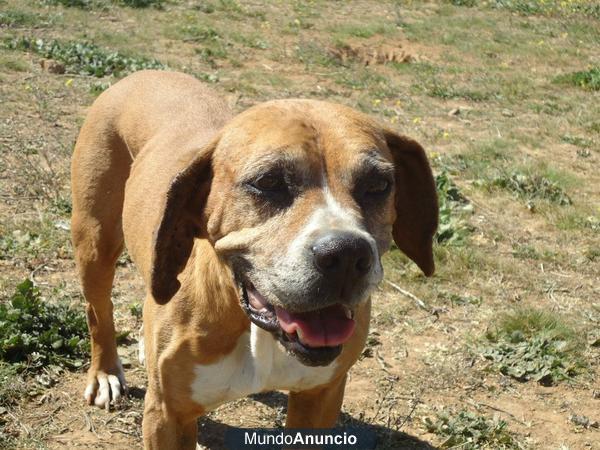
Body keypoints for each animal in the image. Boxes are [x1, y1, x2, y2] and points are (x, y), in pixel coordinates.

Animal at [70, 69, 438, 446]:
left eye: (378, 185)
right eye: (269, 182)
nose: (346, 255)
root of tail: (145, 73)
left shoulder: (320, 398)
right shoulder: (166, 416)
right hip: (95, 243)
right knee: (98, 311)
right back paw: (104, 372)